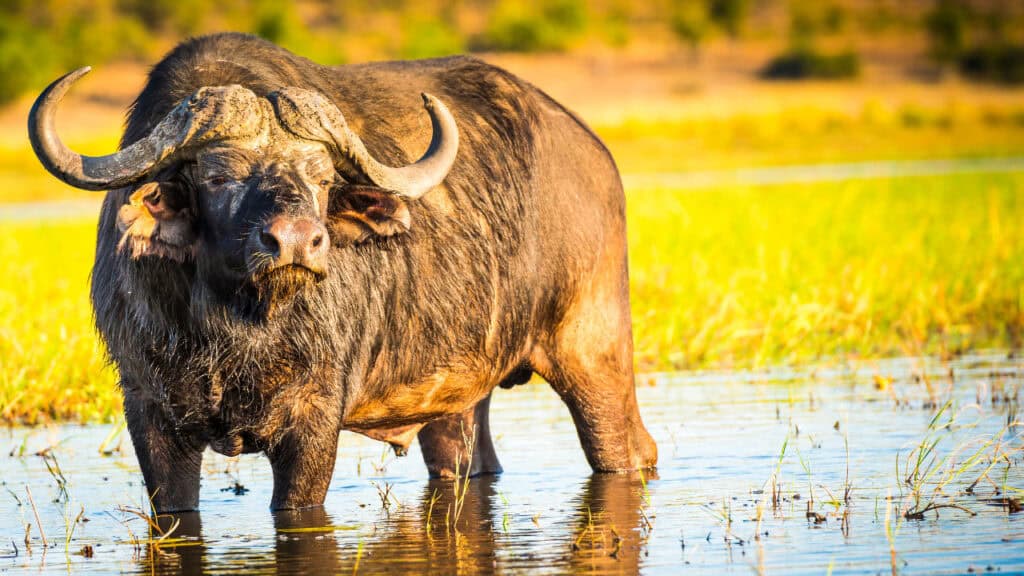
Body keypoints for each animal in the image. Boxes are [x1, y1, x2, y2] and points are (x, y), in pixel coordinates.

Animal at [32, 32, 659, 506]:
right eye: (217, 175)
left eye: (322, 177)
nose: (296, 241)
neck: (235, 325)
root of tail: (591, 150)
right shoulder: (150, 415)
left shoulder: (313, 422)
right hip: (458, 397)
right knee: (467, 461)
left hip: (594, 353)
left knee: (630, 448)